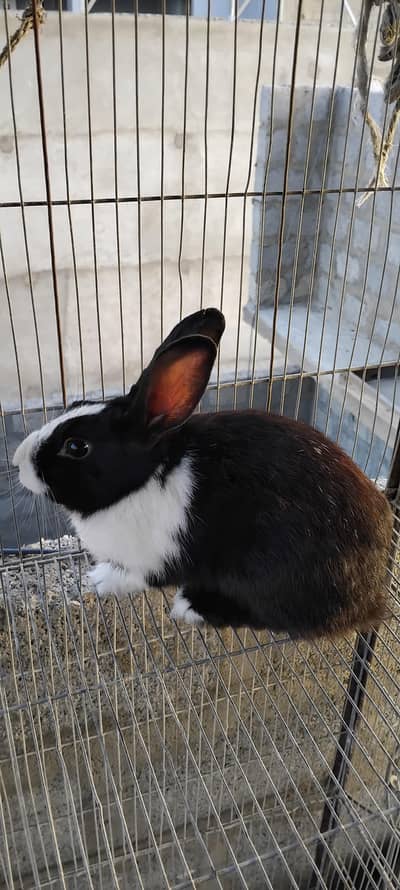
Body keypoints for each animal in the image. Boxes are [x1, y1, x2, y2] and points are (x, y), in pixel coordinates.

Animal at [13, 308, 393, 639]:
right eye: (75, 406)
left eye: (77, 447)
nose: (18, 461)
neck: (143, 481)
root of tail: (372, 597)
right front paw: (98, 577)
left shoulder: (155, 560)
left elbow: (137, 577)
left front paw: (104, 580)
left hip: (269, 575)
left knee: (274, 617)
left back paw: (191, 607)